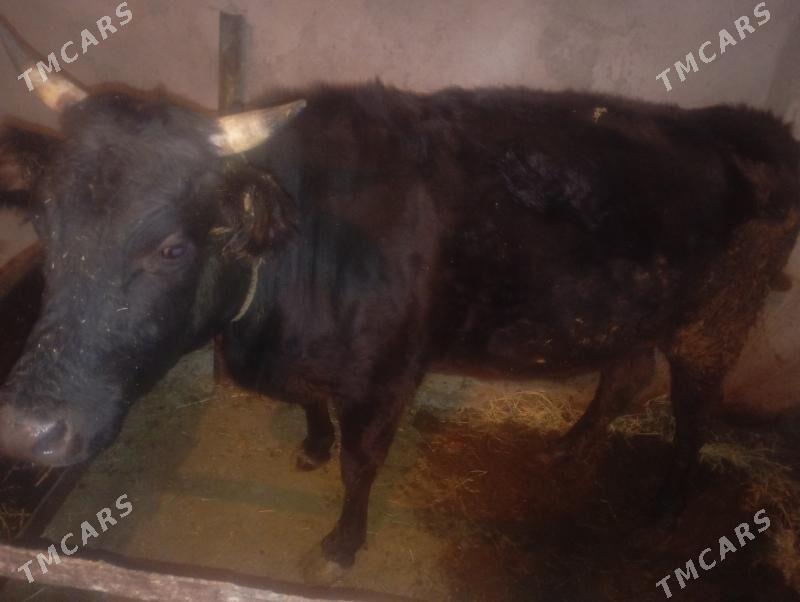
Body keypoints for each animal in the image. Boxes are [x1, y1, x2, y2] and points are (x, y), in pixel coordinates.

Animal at [0, 22, 798, 582]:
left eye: (171, 248)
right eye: (44, 225)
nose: (28, 430)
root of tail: (745, 123)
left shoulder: (388, 375)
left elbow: (362, 465)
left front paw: (340, 545)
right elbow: (311, 404)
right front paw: (311, 447)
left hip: (715, 320)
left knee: (693, 411)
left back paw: (665, 507)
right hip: (637, 307)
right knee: (625, 375)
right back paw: (568, 448)